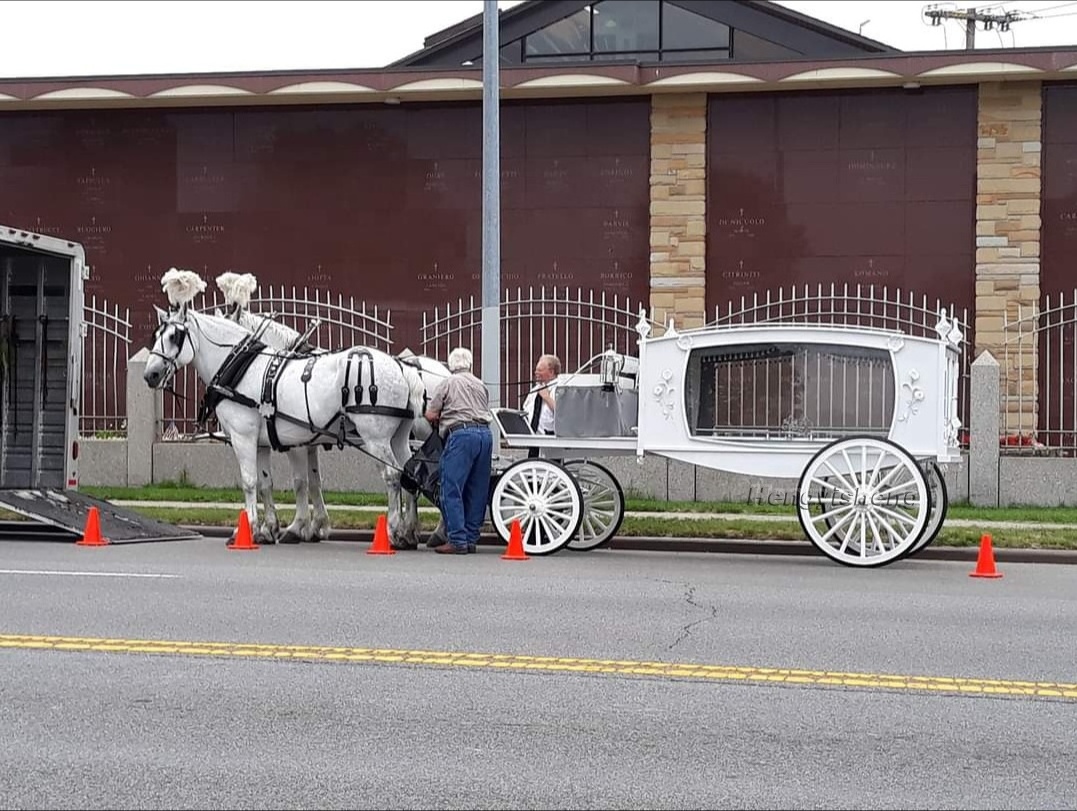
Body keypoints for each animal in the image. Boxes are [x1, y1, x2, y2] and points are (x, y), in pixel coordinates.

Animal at [144, 269, 428, 547]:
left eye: (174, 336)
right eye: (157, 335)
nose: (151, 374)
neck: (243, 368)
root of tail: (401, 366)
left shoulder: (255, 438)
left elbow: (262, 482)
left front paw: (256, 528)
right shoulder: (265, 442)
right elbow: (270, 483)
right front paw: (271, 528)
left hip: (376, 438)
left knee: (392, 477)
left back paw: (392, 530)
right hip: (399, 437)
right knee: (410, 475)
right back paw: (408, 533)